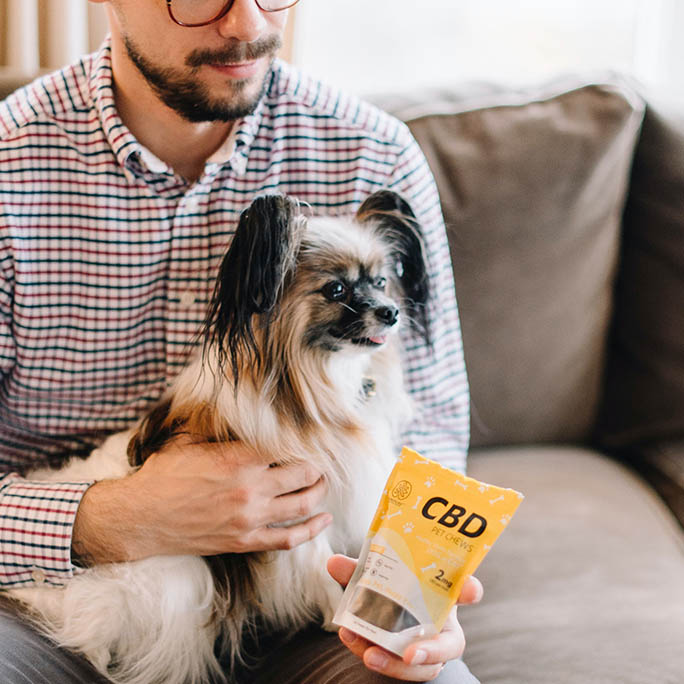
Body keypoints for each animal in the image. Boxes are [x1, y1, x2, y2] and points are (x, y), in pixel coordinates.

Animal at [8, 188, 430, 684]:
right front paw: (335, 613)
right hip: (172, 575)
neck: (309, 377)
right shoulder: (294, 514)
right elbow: (317, 563)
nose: (392, 312)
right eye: (337, 290)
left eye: (381, 282)